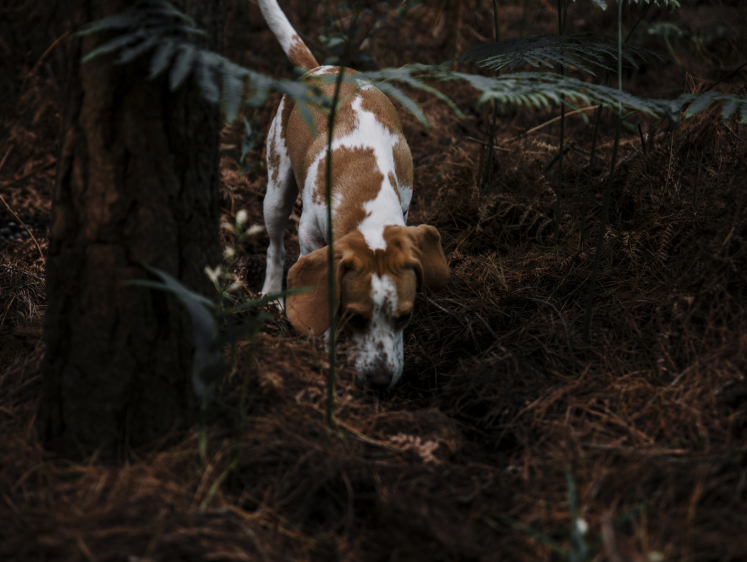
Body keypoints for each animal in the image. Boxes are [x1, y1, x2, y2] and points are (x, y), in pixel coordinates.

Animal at [258, 0, 450, 388]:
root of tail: (318, 68)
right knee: (275, 246)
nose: (380, 380)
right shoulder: (310, 237)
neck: (367, 193)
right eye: (354, 317)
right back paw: (271, 294)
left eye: (405, 317)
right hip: (276, 189)